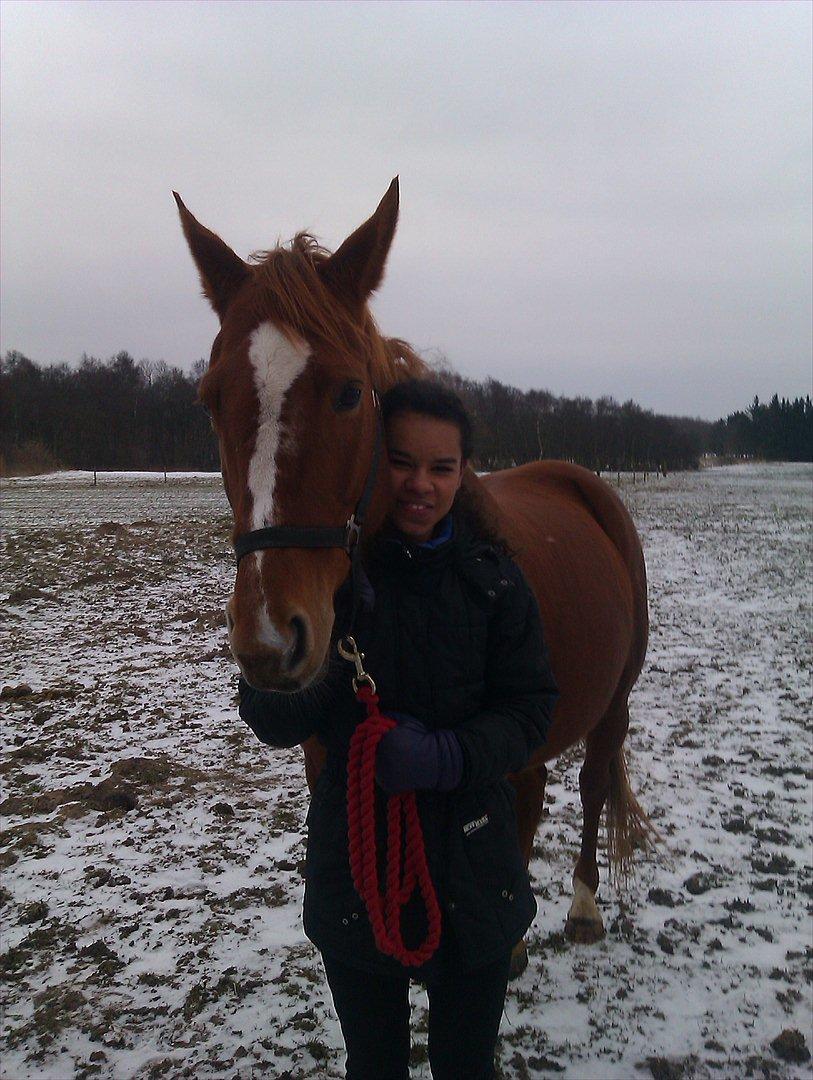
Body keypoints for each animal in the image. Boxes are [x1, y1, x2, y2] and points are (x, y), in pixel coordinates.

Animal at [174, 179, 652, 980]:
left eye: (347, 393)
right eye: (209, 398)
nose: (270, 639)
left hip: (613, 701)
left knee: (590, 785)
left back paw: (583, 907)